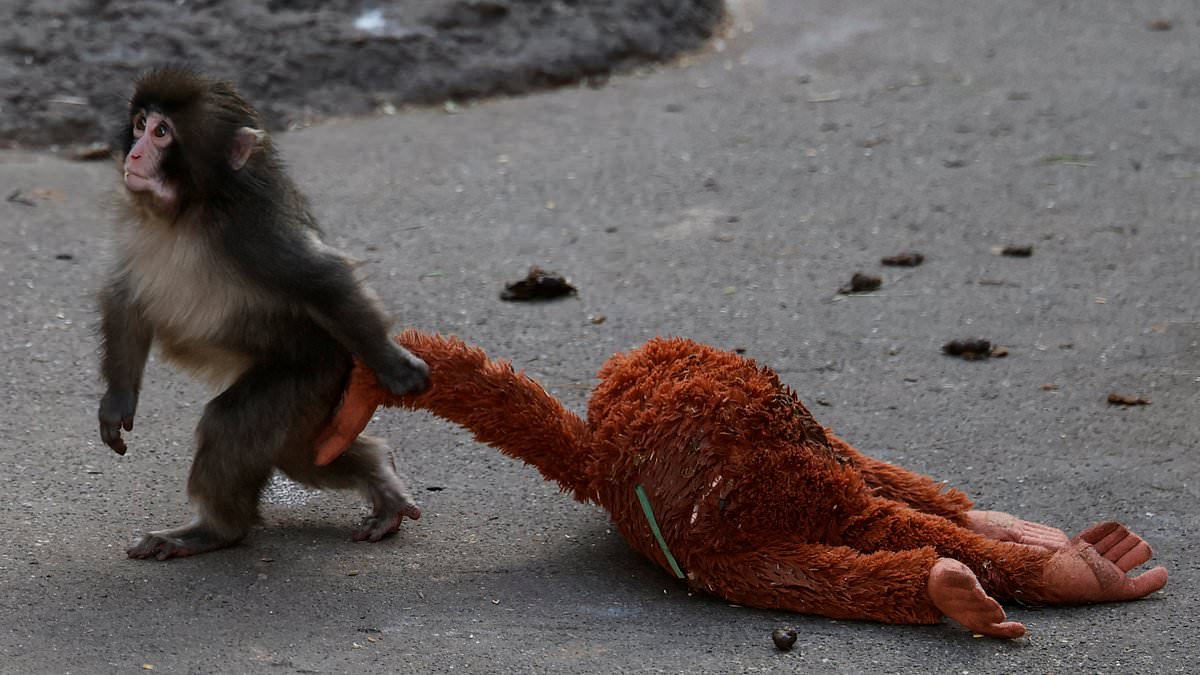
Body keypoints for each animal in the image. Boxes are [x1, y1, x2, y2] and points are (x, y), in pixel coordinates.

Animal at [98, 67, 430, 560]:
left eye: (162, 133)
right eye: (140, 124)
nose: (135, 153)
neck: (188, 211)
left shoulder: (254, 232)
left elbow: (323, 278)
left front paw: (394, 364)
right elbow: (126, 297)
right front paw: (118, 399)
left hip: (311, 374)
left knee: (234, 425)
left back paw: (215, 530)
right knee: (304, 455)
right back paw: (379, 471)